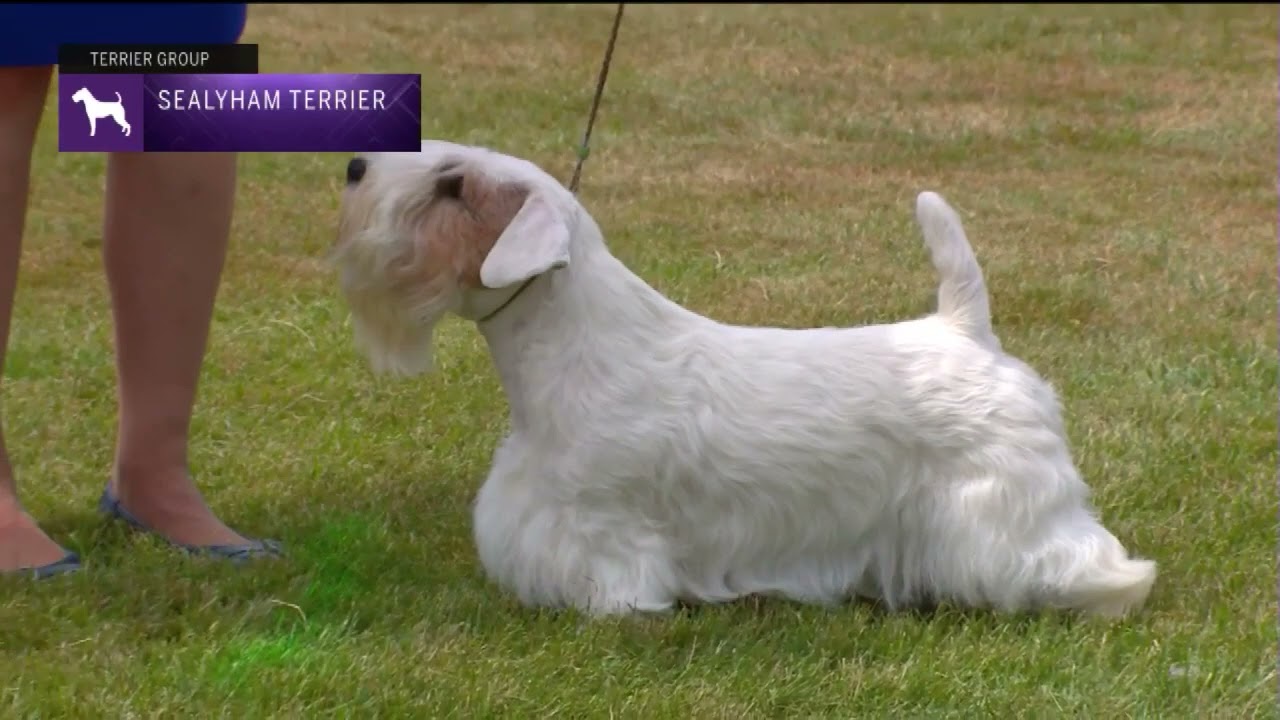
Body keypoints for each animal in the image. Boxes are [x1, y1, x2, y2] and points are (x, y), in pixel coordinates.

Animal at [332, 140, 1162, 617]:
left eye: (453, 187)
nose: (354, 166)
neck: (574, 342)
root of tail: (965, 327)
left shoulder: (599, 522)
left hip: (1005, 500)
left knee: (1070, 552)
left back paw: (1103, 594)